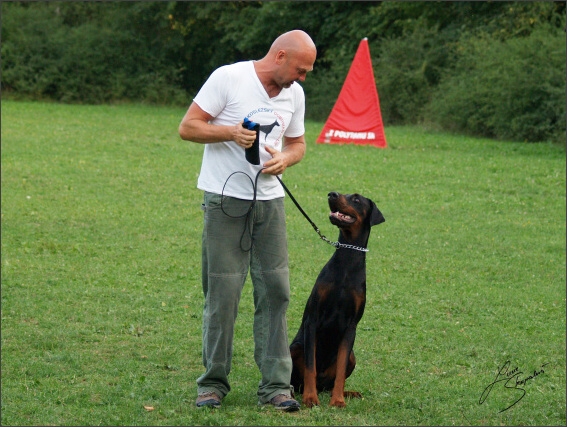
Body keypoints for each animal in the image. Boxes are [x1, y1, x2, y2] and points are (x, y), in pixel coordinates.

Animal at [288, 191, 386, 408]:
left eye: (356, 199)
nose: (331, 194)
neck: (348, 262)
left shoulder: (351, 326)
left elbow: (340, 369)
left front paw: (338, 400)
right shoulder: (313, 319)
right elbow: (310, 366)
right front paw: (310, 398)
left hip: (352, 358)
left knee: (331, 382)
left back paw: (347, 392)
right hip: (294, 348)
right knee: (297, 380)